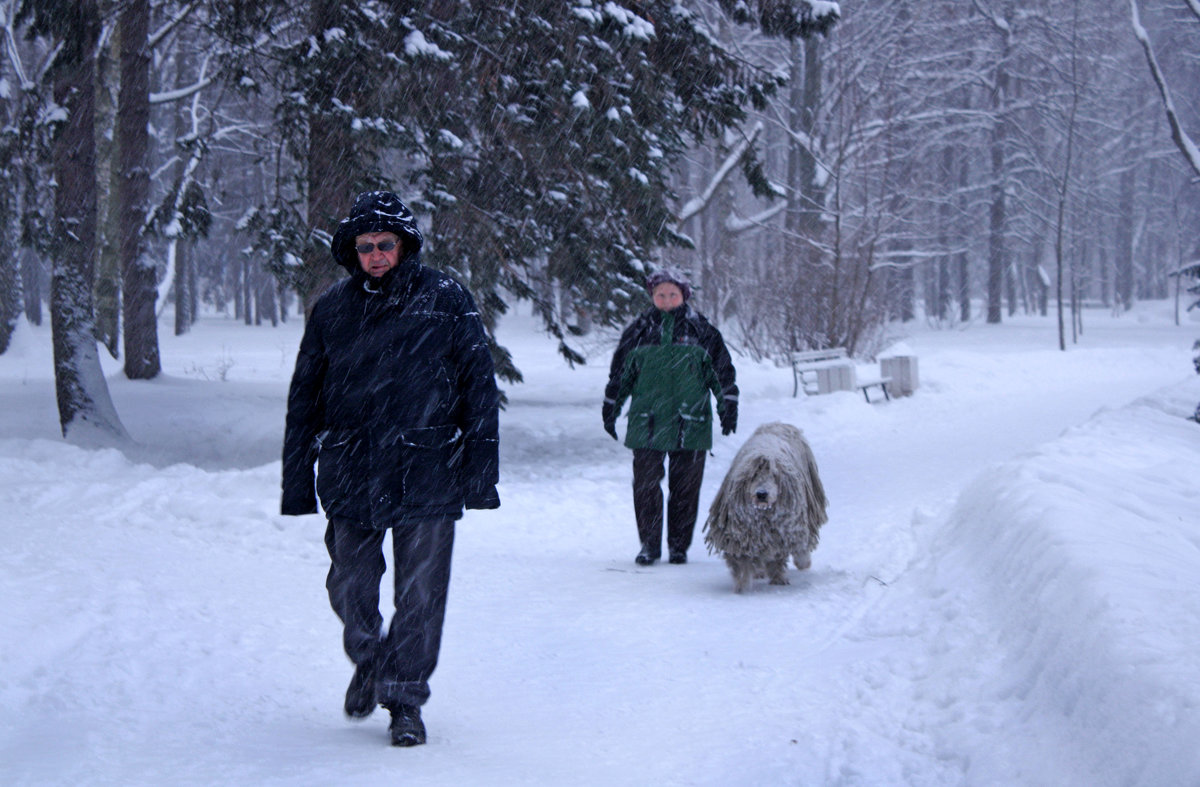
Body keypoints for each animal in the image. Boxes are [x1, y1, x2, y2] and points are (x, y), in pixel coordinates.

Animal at [700, 422, 830, 592]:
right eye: (753, 476)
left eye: (774, 476)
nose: (762, 494)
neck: (764, 514)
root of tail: (778, 424)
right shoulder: (741, 533)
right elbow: (742, 563)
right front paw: (742, 586)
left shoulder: (783, 530)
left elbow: (779, 558)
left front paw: (778, 579)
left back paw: (803, 561)